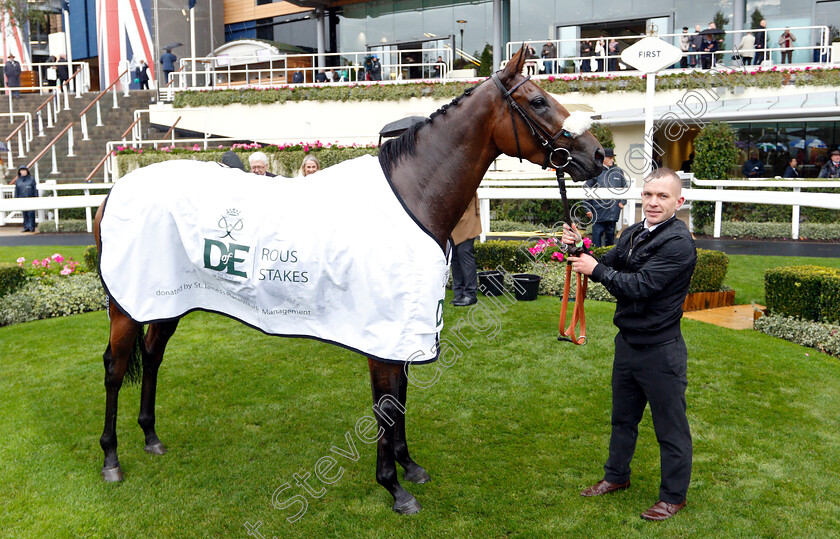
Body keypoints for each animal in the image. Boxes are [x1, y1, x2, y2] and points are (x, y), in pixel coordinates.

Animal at [93, 48, 604, 516]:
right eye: (537, 101)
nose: (597, 154)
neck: (413, 195)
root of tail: (115, 191)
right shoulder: (383, 335)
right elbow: (386, 406)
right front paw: (394, 488)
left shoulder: (406, 331)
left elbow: (399, 400)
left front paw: (409, 467)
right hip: (126, 307)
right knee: (116, 368)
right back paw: (111, 460)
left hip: (164, 301)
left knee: (153, 357)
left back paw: (151, 436)